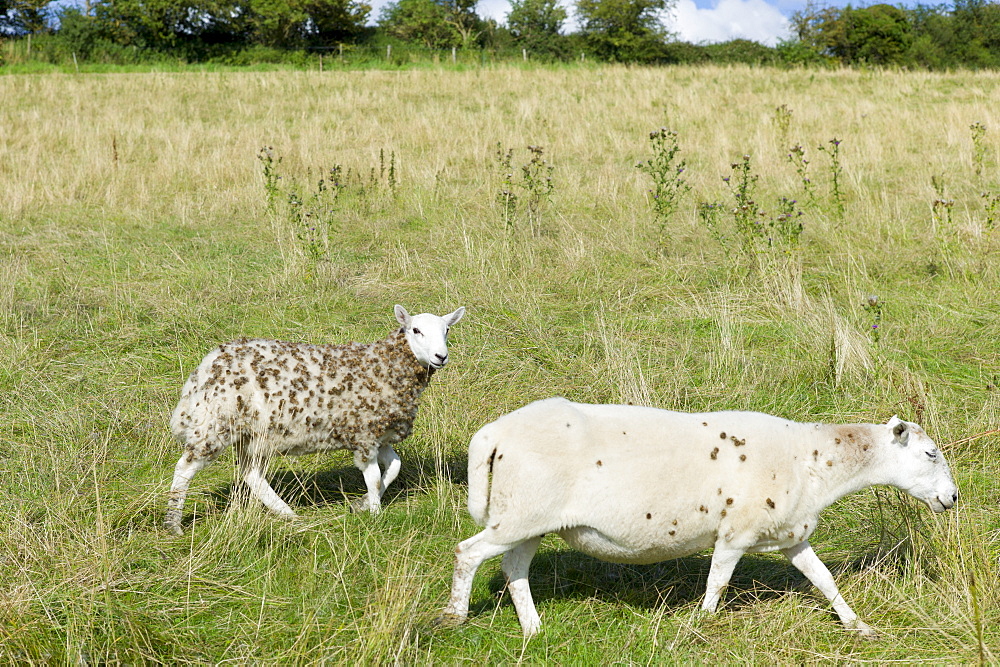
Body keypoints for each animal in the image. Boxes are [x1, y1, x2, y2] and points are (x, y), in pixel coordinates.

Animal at [164, 306, 464, 536]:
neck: (384, 366)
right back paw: (174, 523)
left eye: (447, 331)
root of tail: (205, 367)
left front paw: (363, 505)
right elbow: (375, 478)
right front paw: (376, 515)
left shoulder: (380, 434)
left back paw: (287, 513)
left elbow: (393, 468)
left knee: (251, 473)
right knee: (185, 468)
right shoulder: (364, 434)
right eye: (416, 330)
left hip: (254, 434)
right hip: (215, 423)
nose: (441, 357)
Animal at [442, 396, 956, 636]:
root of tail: (493, 433)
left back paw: (533, 628)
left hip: (530, 517)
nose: (952, 498)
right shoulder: (736, 532)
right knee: (467, 553)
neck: (814, 461)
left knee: (514, 567)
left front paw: (857, 626)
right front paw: (703, 625)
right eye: (931, 453)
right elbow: (718, 583)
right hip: (520, 513)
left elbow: (825, 579)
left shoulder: (792, 533)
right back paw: (455, 617)